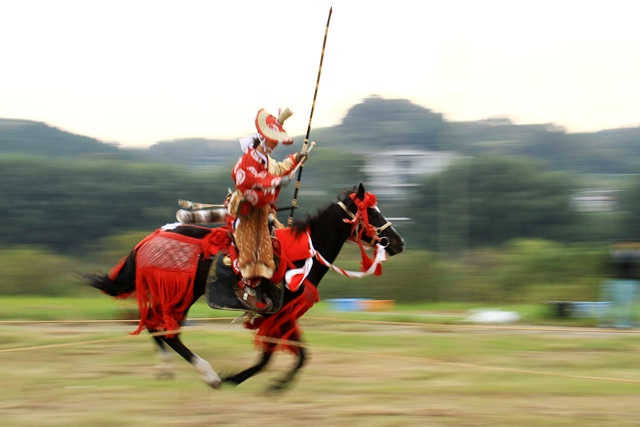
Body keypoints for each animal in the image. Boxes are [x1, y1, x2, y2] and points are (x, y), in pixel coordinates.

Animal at [85, 184, 404, 392]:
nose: (398, 242)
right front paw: (238, 379)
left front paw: (278, 384)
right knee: (167, 331)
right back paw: (210, 375)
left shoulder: (286, 314)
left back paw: (166, 368)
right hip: (182, 293)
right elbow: (269, 355)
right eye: (373, 213)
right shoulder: (280, 313)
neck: (303, 253)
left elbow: (302, 354)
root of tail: (145, 242)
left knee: (156, 326)